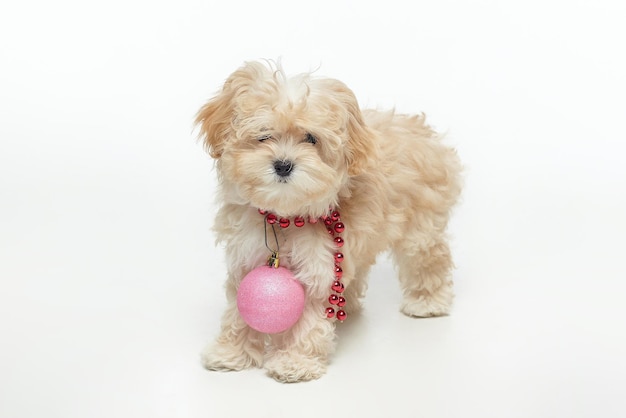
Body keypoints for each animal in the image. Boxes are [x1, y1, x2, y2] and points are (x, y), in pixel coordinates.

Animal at [195, 60, 458, 384]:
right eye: (264, 134)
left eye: (311, 138)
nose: (283, 165)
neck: (284, 217)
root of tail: (420, 129)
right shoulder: (246, 258)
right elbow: (239, 312)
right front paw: (232, 353)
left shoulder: (318, 267)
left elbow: (308, 319)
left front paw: (295, 362)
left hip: (420, 226)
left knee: (429, 259)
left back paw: (427, 302)